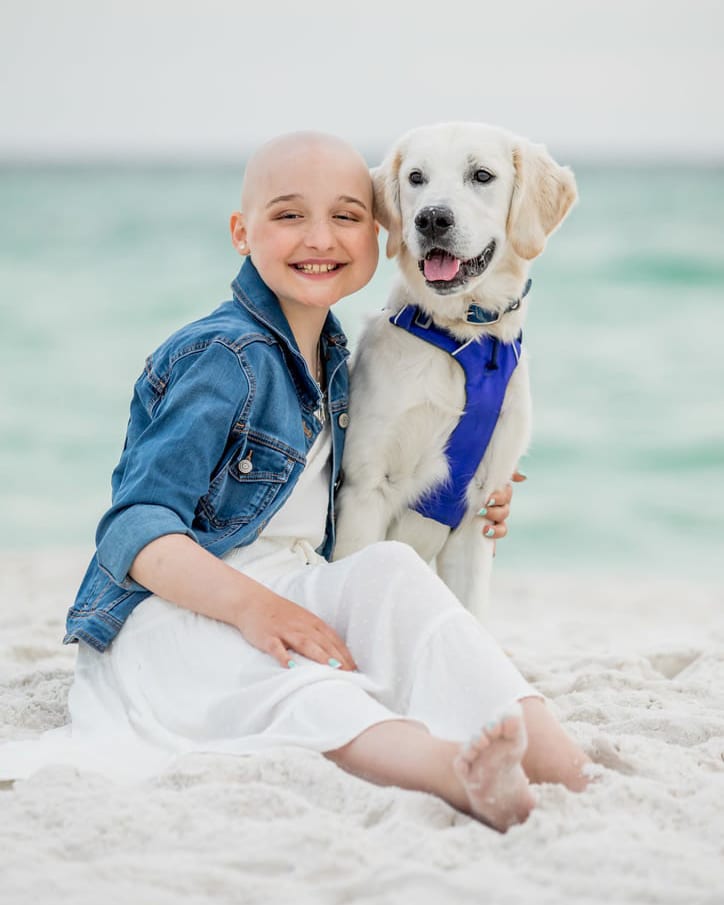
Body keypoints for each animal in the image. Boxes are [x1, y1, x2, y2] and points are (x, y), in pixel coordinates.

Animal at [334, 122, 576, 620]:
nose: (431, 219)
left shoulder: (480, 510)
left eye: (482, 175)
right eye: (416, 177)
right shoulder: (366, 490)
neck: (464, 339)